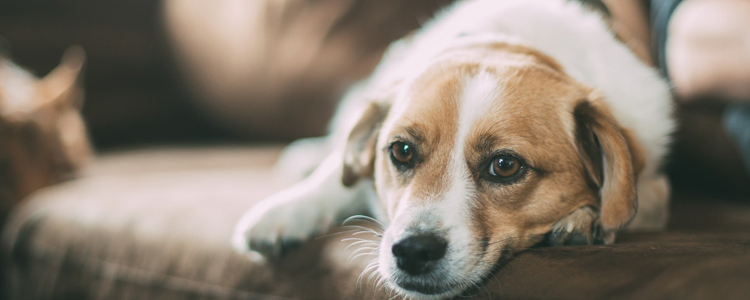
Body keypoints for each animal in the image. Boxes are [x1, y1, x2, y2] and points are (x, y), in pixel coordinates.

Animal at [234, 1, 676, 298]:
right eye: (402, 151)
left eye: (505, 165)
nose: (412, 251)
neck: (509, 42)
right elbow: (337, 176)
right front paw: (286, 212)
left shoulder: (654, 187)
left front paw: (584, 219)